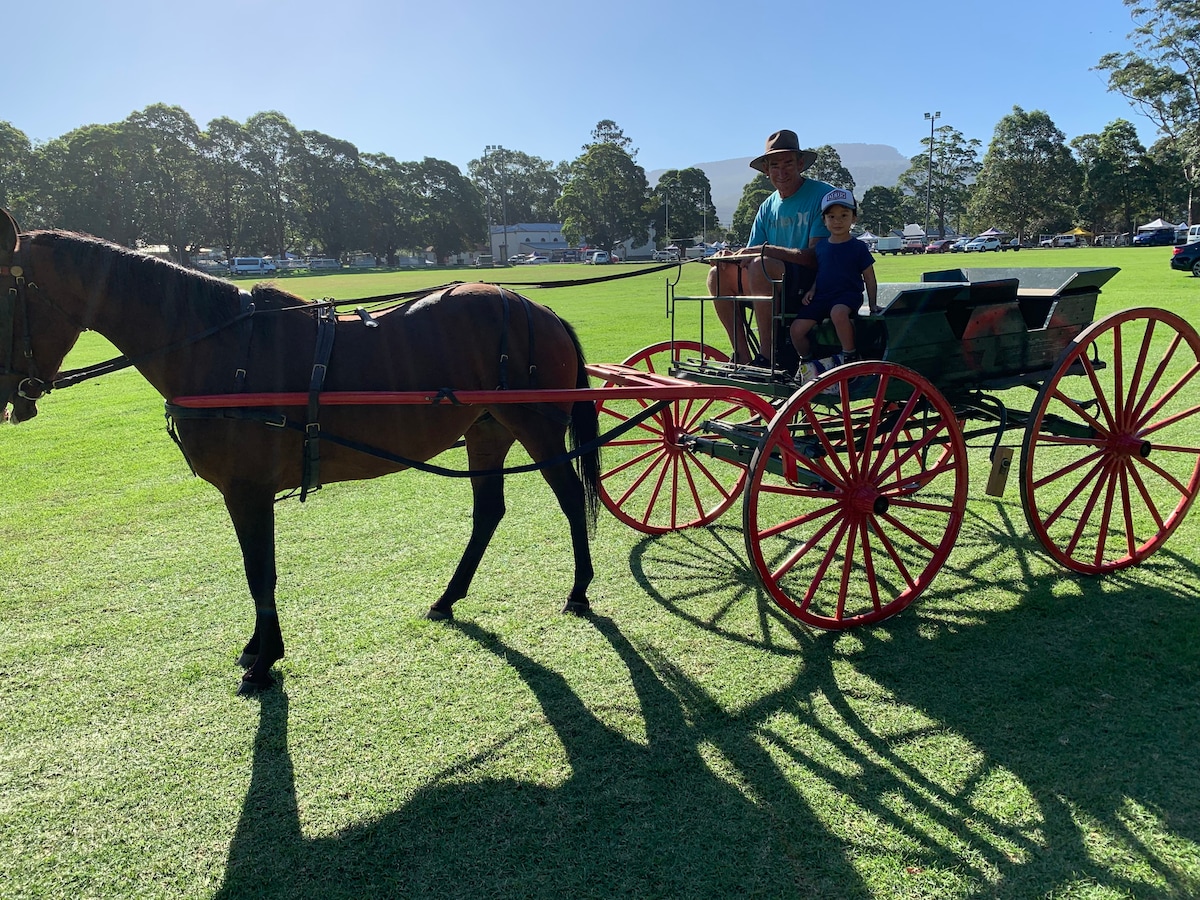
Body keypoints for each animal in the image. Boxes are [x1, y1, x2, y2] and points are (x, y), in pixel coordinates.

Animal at [0, 210, 600, 691]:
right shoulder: (246, 491)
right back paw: (449, 597)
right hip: (487, 428)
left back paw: (578, 590)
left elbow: (259, 571)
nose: (12, 397)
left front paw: (265, 659)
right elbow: (255, 570)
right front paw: (258, 648)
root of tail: (535, 306)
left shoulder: (247, 489)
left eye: (5, 293)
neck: (219, 349)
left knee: (572, 499)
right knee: (489, 510)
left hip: (537, 425)